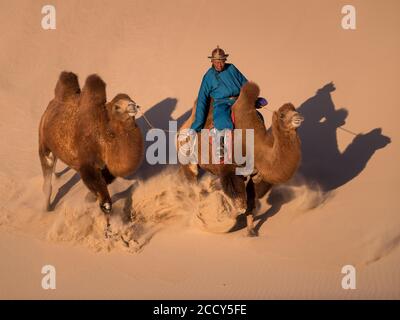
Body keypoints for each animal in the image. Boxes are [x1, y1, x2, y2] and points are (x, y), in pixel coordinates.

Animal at [38, 71, 144, 214]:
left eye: (131, 99)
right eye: (117, 107)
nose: (133, 106)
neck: (104, 133)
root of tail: (48, 109)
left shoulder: (105, 166)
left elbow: (105, 180)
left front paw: (90, 198)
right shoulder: (86, 163)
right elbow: (98, 186)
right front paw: (104, 205)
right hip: (43, 144)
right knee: (47, 176)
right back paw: (47, 207)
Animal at [179, 82, 304, 238]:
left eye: (294, 109)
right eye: (282, 115)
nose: (298, 117)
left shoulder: (254, 173)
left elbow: (251, 201)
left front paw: (251, 231)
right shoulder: (229, 170)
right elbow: (240, 206)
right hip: (187, 157)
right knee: (193, 181)